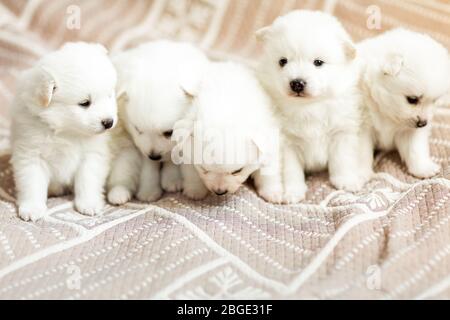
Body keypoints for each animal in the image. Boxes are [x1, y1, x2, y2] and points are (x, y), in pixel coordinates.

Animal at [11, 42, 118, 221]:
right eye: (84, 103)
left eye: (109, 95)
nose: (109, 122)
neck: (67, 131)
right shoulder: (30, 154)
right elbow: (32, 184)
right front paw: (32, 208)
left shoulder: (91, 156)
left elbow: (87, 181)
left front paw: (88, 203)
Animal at [107, 40, 209, 202]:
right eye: (138, 129)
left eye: (169, 133)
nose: (154, 156)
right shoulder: (141, 146)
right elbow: (148, 167)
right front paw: (149, 191)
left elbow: (180, 159)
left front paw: (191, 187)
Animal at [173, 61, 282, 199]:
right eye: (204, 169)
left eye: (237, 171)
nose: (220, 192)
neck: (225, 109)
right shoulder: (186, 146)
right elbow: (191, 170)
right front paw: (195, 190)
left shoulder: (270, 140)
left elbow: (269, 169)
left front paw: (272, 192)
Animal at [255, 10, 370, 202]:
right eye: (282, 61)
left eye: (318, 62)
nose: (297, 83)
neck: (309, 106)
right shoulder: (287, 144)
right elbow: (292, 171)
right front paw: (293, 192)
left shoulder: (341, 133)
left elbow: (342, 160)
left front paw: (346, 181)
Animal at [358, 28, 450, 179]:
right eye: (412, 99)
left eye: (434, 101)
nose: (423, 123)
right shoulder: (361, 127)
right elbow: (359, 153)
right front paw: (358, 176)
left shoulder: (410, 130)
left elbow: (415, 148)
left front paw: (423, 168)